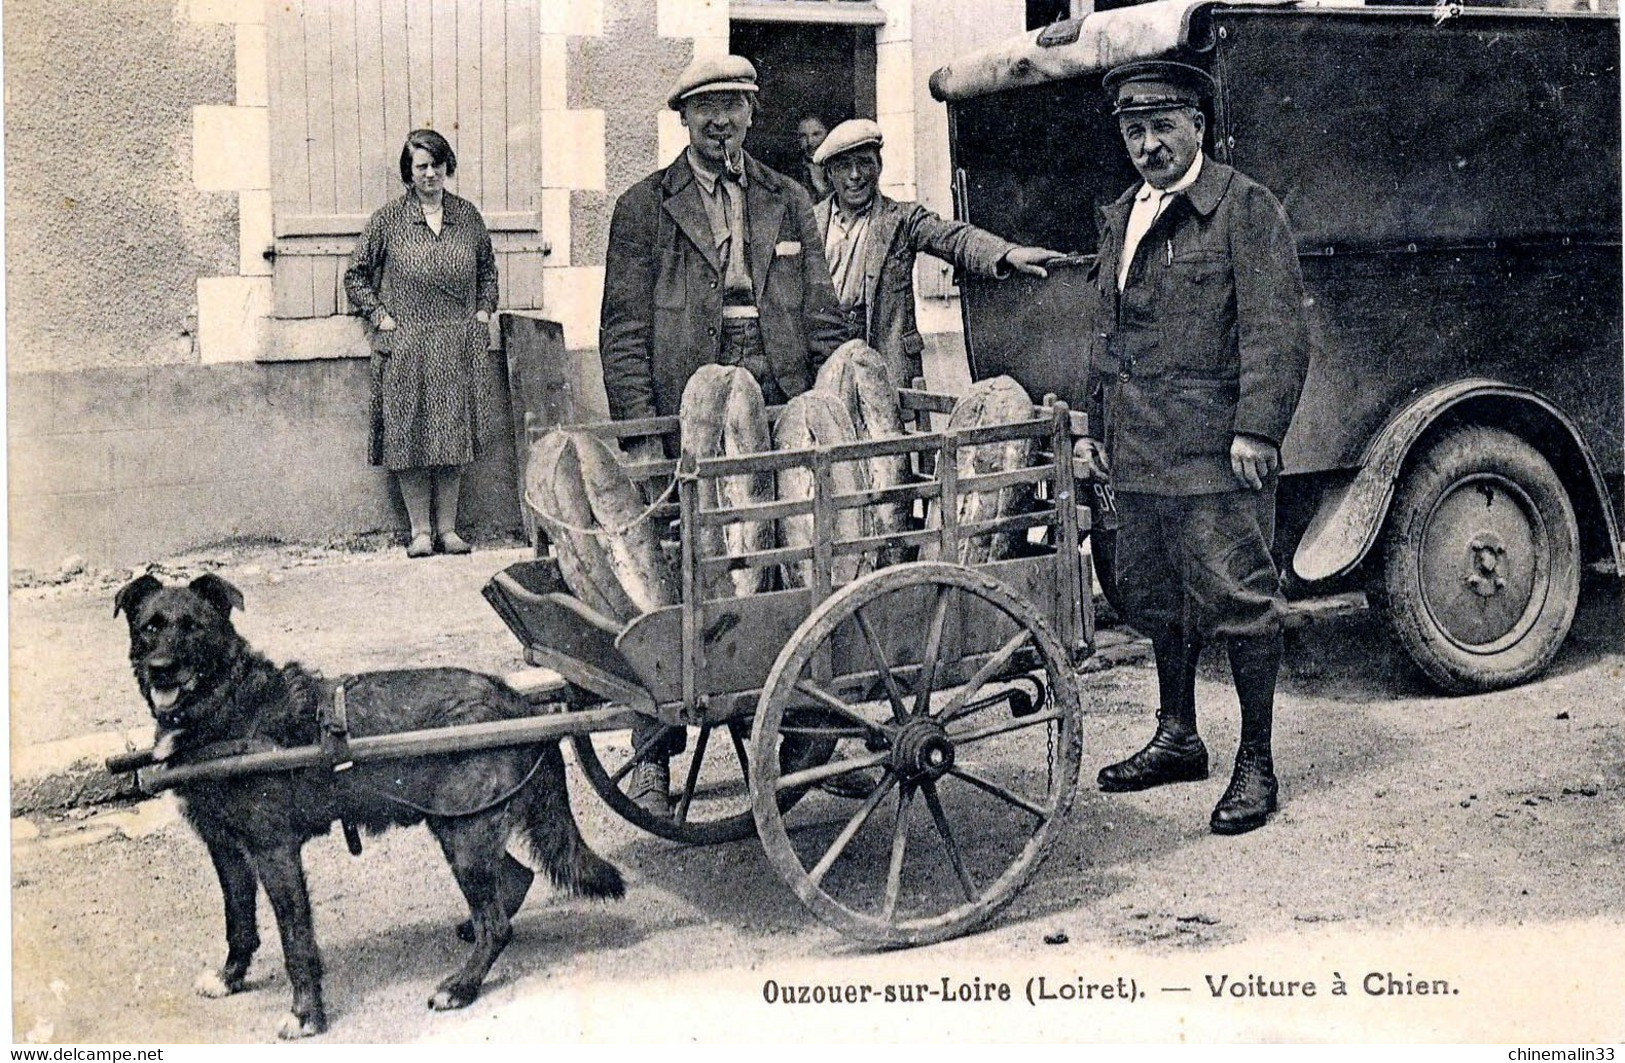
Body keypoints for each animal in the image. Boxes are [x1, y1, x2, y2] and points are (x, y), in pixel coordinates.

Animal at [114, 575, 620, 1040]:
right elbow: (238, 921)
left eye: (193, 627)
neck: (230, 707)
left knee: (496, 923)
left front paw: (306, 1014)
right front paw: (230, 977)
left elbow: (296, 941)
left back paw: (461, 985)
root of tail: (517, 704)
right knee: (515, 881)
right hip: (460, 826)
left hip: (464, 833)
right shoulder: (225, 848)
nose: (161, 668)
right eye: (150, 627)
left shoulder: (274, 852)